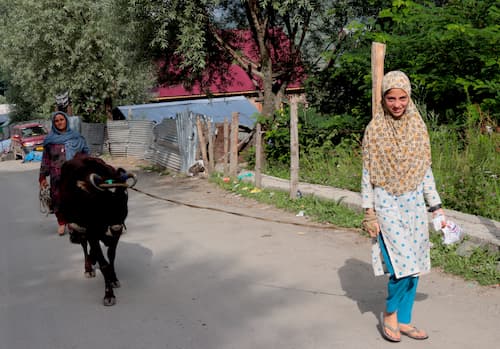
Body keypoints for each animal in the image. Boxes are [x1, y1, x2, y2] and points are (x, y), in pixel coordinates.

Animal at [58, 155, 137, 304]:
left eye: (124, 196)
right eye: (104, 199)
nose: (116, 227)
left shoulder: (116, 235)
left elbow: (111, 257)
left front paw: (114, 279)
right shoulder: (92, 233)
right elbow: (104, 264)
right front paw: (109, 294)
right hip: (81, 228)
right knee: (84, 245)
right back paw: (88, 268)